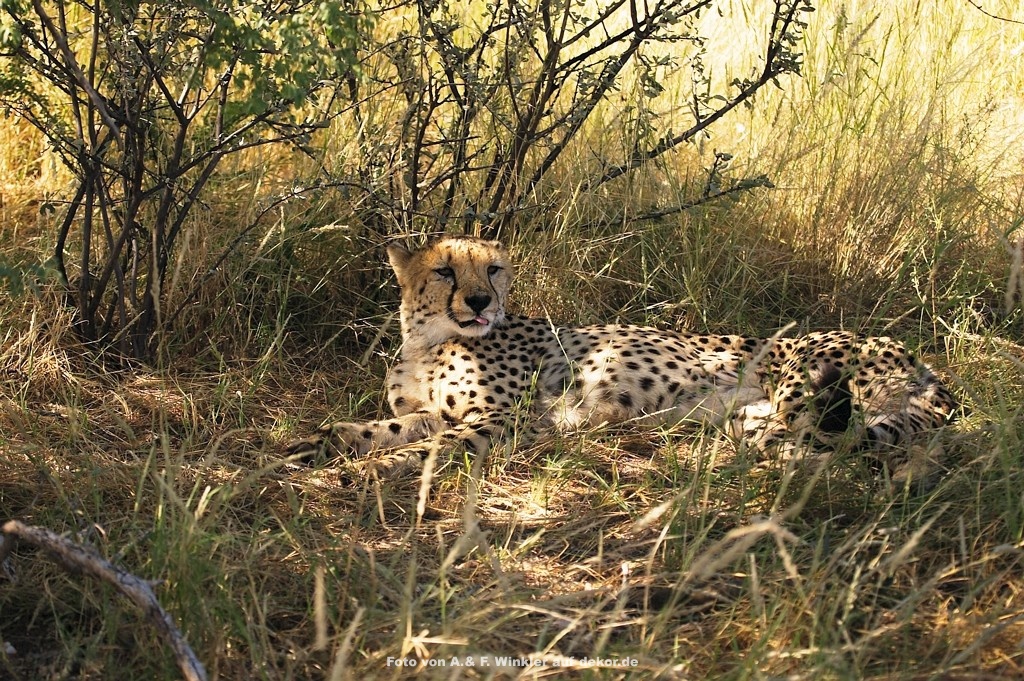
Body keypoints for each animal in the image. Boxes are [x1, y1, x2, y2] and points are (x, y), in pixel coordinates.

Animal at [287, 236, 957, 479]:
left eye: (494, 269)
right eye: (446, 270)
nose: (480, 301)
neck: (430, 339)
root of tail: (919, 358)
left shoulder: (502, 420)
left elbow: (429, 450)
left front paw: (367, 472)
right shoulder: (430, 412)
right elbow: (375, 428)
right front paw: (314, 446)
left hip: (801, 380)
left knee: (839, 445)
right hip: (755, 422)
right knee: (813, 447)